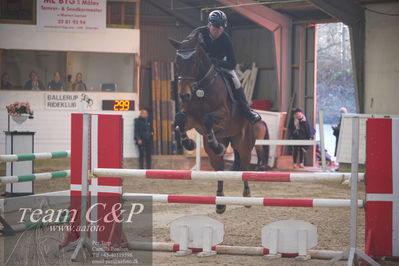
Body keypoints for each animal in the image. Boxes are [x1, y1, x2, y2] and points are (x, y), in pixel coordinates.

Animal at [170, 32, 256, 214]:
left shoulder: (223, 116)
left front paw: (214, 145)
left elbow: (208, 118)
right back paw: (220, 202)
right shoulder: (192, 119)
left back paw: (246, 197)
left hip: (244, 144)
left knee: (245, 167)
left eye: (193, 61)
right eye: (177, 62)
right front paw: (189, 143)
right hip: (215, 153)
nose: (184, 95)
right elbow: (180, 119)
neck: (201, 88)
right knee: (219, 169)